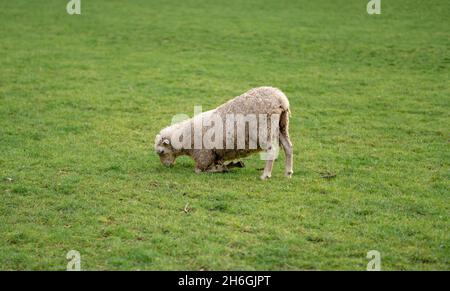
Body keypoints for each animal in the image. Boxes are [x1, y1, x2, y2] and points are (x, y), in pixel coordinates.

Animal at [155, 86, 294, 180]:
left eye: (161, 152)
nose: (166, 166)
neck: (186, 139)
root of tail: (281, 99)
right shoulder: (215, 155)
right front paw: (232, 165)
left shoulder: (204, 156)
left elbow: (199, 170)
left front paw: (221, 169)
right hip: (282, 125)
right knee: (288, 147)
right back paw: (288, 173)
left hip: (264, 128)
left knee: (271, 151)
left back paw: (265, 175)